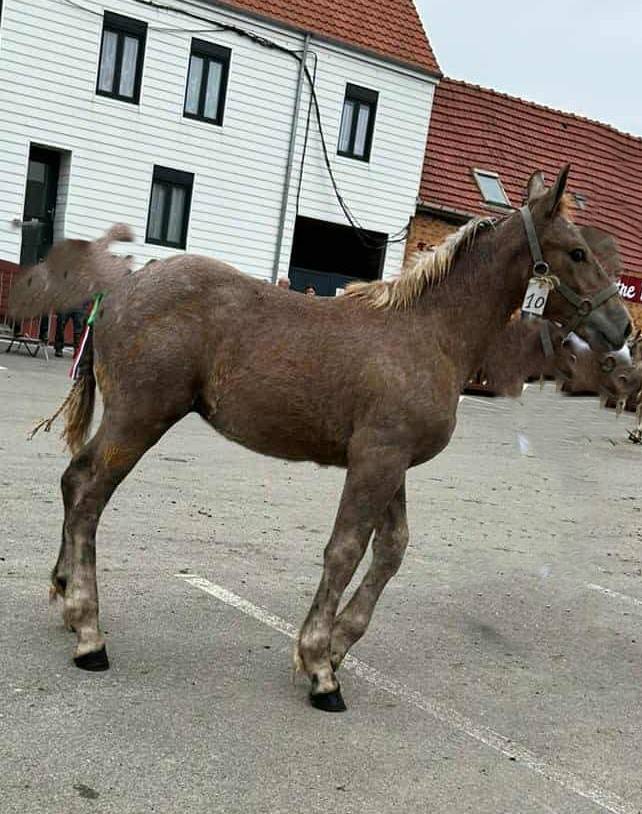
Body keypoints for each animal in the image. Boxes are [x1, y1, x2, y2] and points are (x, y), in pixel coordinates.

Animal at [9, 166, 631, 712]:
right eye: (578, 252)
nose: (622, 328)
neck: (428, 333)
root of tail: (122, 286)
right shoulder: (376, 459)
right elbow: (345, 550)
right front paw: (319, 668)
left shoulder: (392, 462)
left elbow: (391, 549)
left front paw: (337, 646)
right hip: (140, 418)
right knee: (89, 494)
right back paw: (89, 633)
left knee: (74, 482)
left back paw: (64, 595)